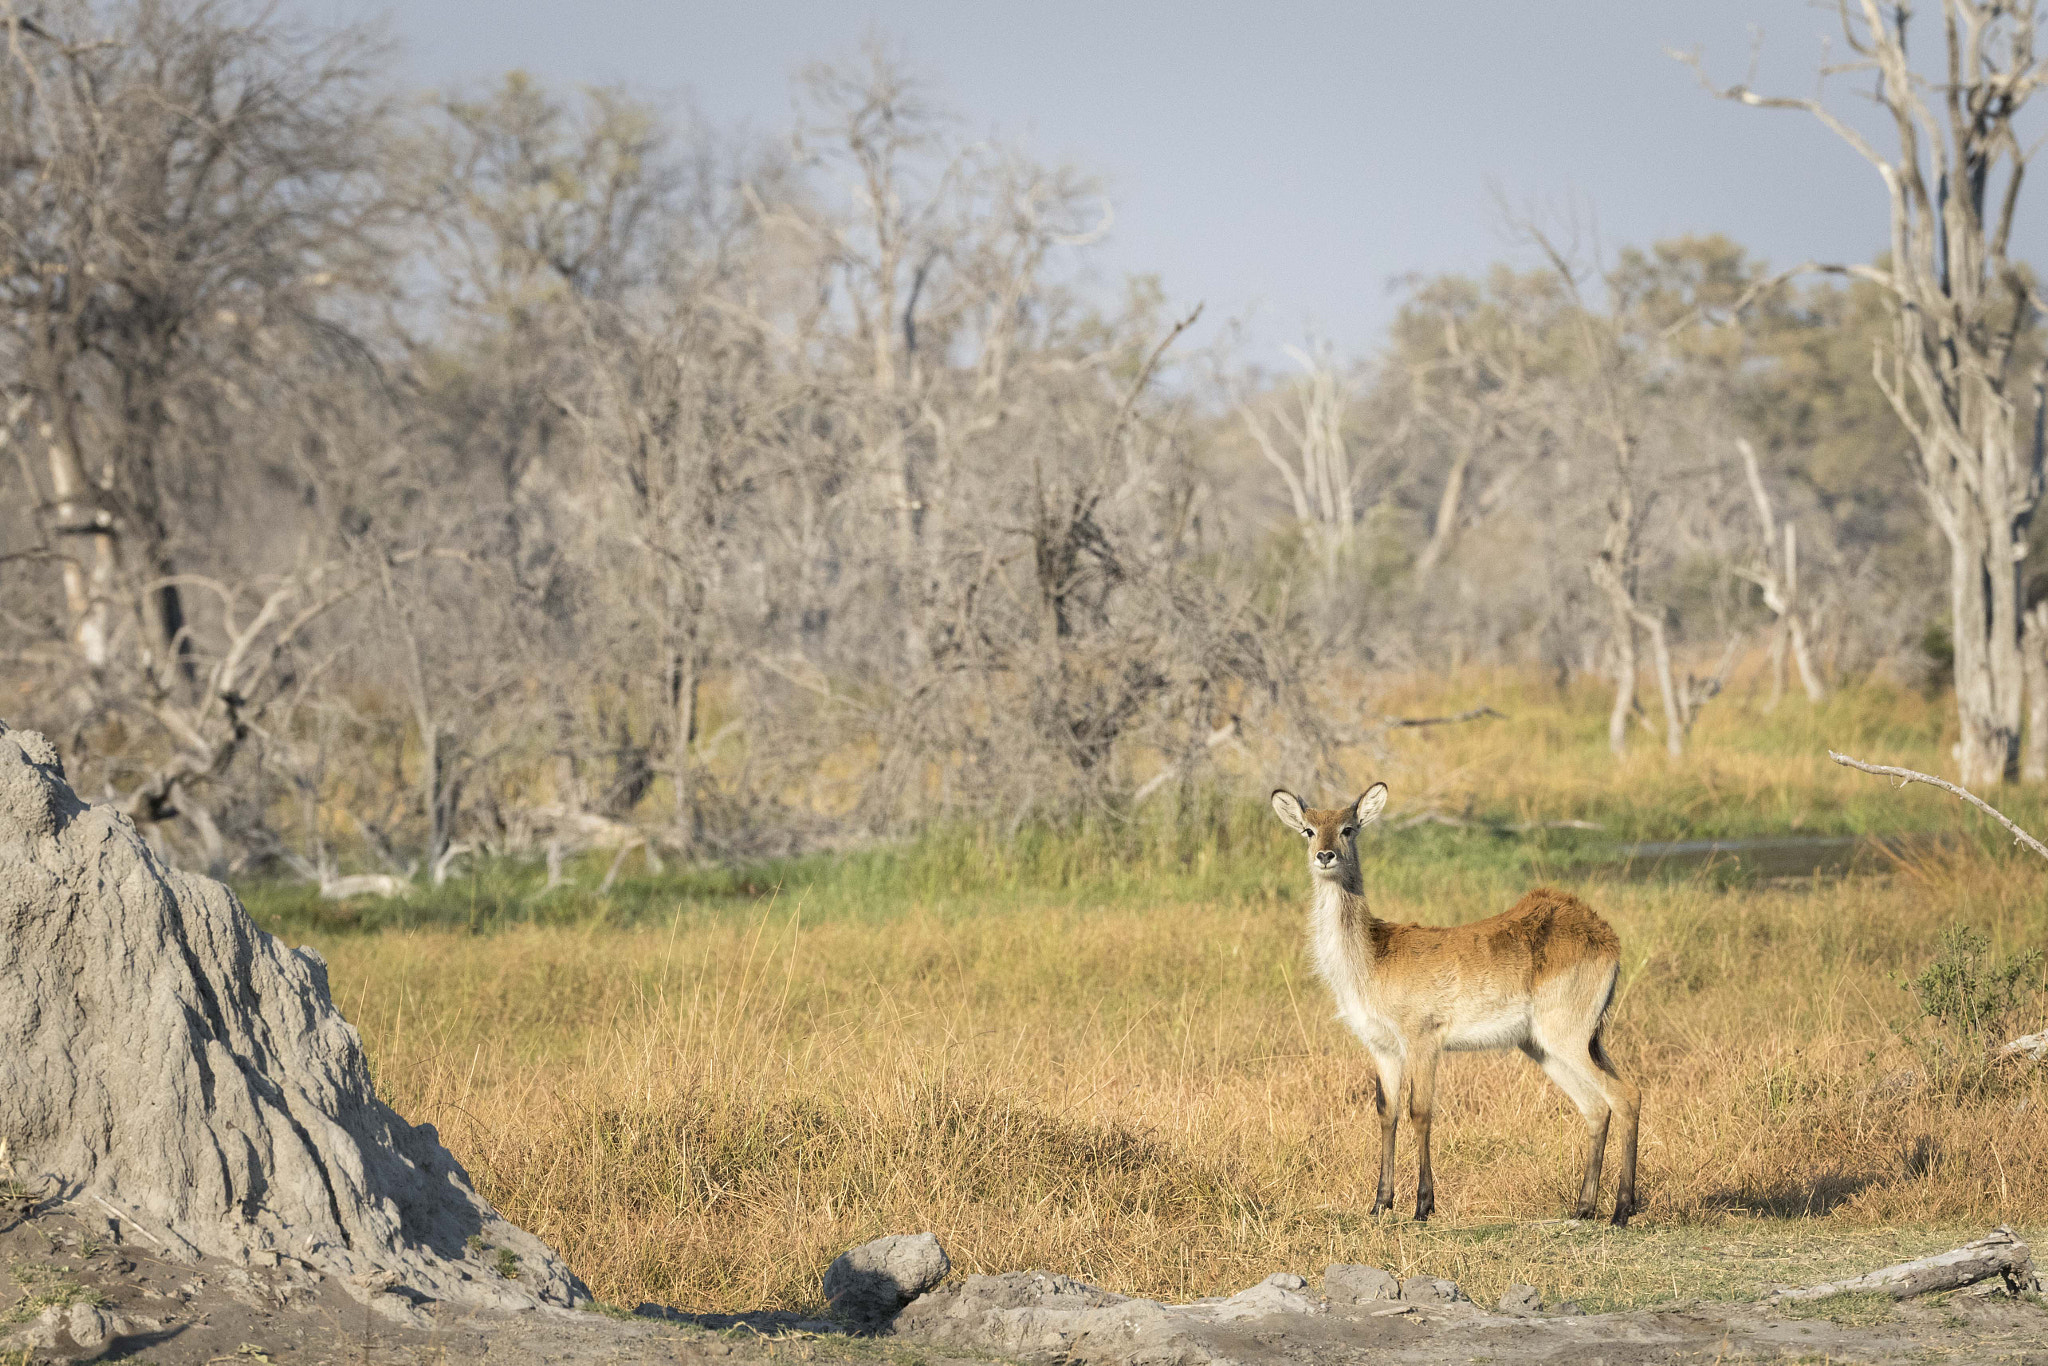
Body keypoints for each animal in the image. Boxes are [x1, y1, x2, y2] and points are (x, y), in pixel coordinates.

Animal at [1269, 786, 1638, 1220]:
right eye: (1308, 830)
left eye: (1348, 828)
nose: (1325, 856)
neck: (1371, 957)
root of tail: (1604, 934)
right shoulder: (1382, 1047)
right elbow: (1387, 1112)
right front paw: (1379, 1203)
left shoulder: (1423, 1040)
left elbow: (1420, 1111)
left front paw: (1423, 1206)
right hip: (1546, 1046)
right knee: (1597, 1107)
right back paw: (1584, 1208)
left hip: (1568, 1037)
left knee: (1625, 1096)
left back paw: (1622, 1210)